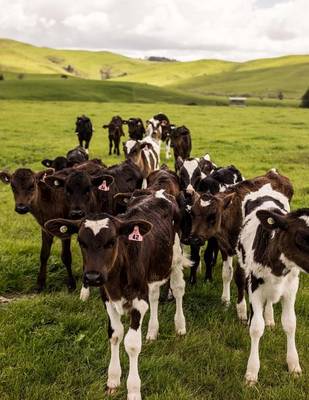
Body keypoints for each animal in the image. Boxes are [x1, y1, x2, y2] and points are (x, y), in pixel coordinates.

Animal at [43, 191, 188, 400]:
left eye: (111, 241)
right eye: (81, 242)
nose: (92, 277)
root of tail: (158, 192)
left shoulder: (138, 302)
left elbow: (132, 344)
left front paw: (134, 390)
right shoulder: (108, 299)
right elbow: (114, 335)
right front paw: (112, 379)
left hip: (175, 257)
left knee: (178, 289)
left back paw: (180, 326)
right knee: (153, 295)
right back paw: (152, 331)